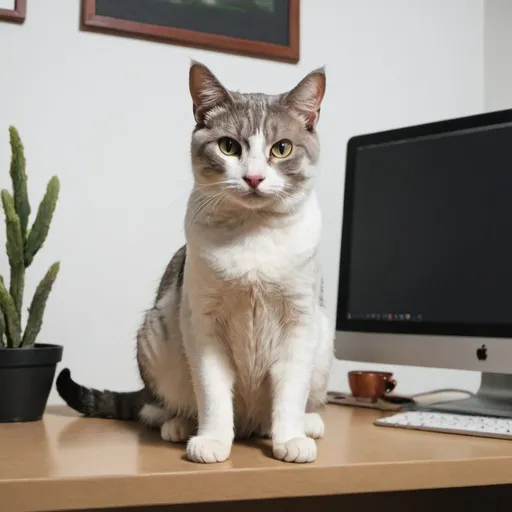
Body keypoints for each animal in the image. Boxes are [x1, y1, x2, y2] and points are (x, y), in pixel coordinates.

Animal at [57, 61, 336, 464]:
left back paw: (305, 423)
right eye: (228, 146)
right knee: (155, 406)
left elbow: (289, 393)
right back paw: (179, 424)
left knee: (290, 406)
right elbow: (213, 391)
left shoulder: (300, 321)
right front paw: (213, 440)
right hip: (156, 331)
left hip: (323, 337)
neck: (252, 234)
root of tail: (249, 423)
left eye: (282, 148)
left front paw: (290, 439)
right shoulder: (203, 323)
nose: (254, 177)